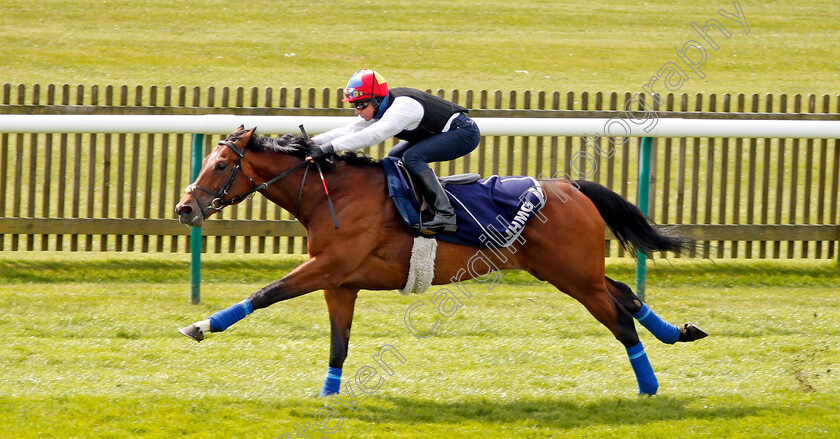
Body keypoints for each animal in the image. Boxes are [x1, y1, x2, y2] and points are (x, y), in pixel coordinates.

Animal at [174, 126, 704, 398]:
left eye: (221, 165)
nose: (184, 208)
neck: (332, 194)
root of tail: (570, 186)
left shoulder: (328, 267)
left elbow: (266, 294)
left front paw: (200, 325)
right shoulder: (340, 283)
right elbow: (338, 346)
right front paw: (328, 398)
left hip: (574, 276)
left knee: (620, 319)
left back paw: (649, 386)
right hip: (567, 271)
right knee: (626, 295)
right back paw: (679, 332)